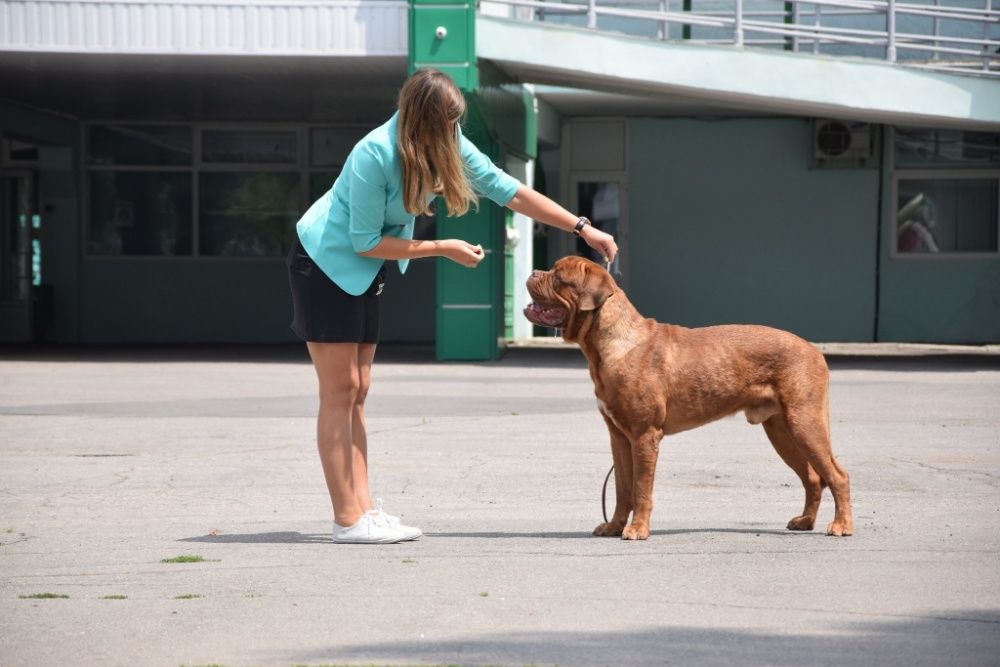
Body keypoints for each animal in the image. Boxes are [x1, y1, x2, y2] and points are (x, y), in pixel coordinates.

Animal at [524, 258, 852, 540]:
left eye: (559, 277)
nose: (534, 271)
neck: (609, 346)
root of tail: (815, 350)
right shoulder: (619, 436)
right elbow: (622, 489)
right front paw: (615, 526)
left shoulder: (644, 435)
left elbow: (641, 489)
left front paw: (637, 529)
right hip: (781, 431)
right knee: (813, 478)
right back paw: (805, 521)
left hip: (805, 423)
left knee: (837, 475)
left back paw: (841, 526)